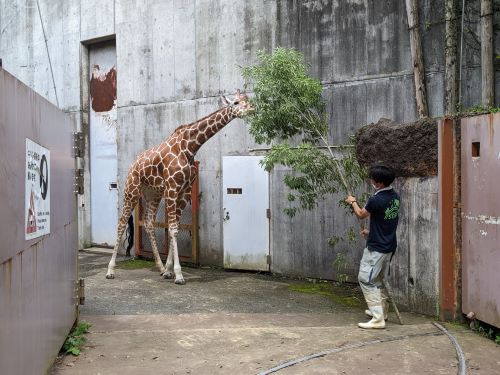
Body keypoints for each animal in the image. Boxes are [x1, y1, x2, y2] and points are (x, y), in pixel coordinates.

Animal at [106, 90, 254, 284]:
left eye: (248, 100)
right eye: (236, 102)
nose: (251, 109)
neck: (190, 147)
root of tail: (132, 165)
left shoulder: (183, 191)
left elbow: (173, 228)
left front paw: (168, 270)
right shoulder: (172, 188)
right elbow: (173, 230)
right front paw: (178, 274)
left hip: (153, 194)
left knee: (148, 222)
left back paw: (160, 267)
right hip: (132, 190)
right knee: (121, 223)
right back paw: (110, 270)